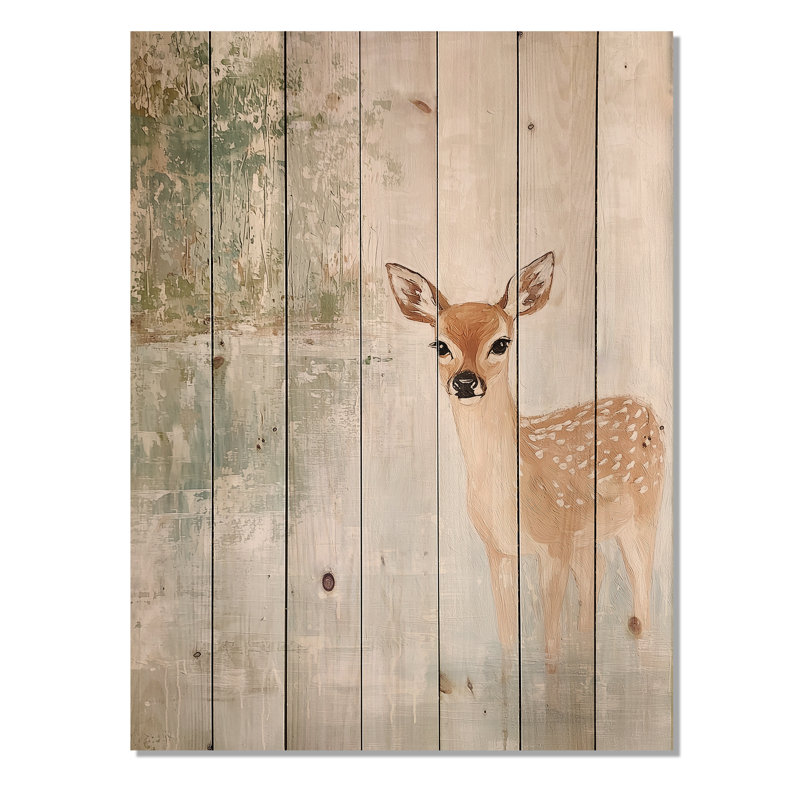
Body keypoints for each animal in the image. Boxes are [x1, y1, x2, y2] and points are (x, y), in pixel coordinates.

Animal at [386, 252, 664, 672]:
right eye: (440, 345)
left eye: (501, 343)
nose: (465, 382)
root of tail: (648, 409)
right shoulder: (498, 550)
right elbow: (506, 640)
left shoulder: (553, 544)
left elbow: (549, 646)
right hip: (587, 533)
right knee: (597, 573)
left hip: (645, 510)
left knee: (641, 591)